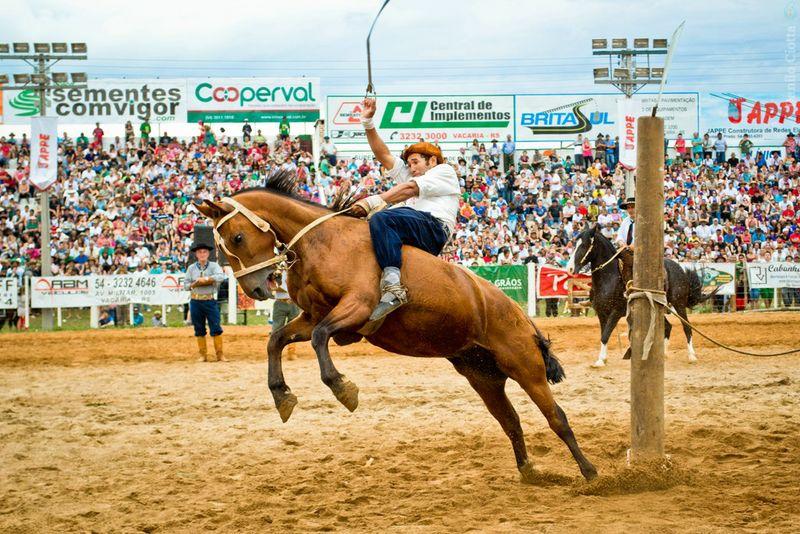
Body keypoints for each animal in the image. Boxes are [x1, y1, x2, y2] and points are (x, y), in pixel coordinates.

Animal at [197, 170, 596, 484]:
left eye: (236, 238)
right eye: (220, 249)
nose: (255, 289)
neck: (324, 241)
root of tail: (519, 315)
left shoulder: (356, 307)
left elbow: (320, 338)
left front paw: (343, 388)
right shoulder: (311, 315)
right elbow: (277, 340)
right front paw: (282, 395)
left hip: (526, 368)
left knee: (557, 418)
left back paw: (591, 473)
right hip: (484, 376)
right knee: (511, 421)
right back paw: (529, 471)